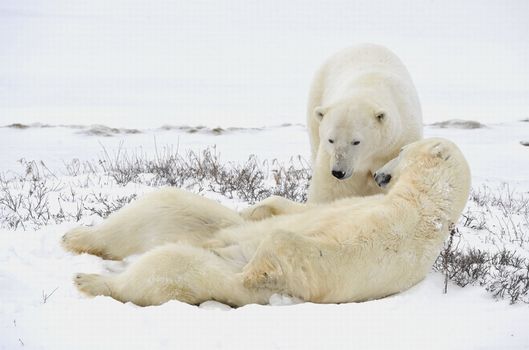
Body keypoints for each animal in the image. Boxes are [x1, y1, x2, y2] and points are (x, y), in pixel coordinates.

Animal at [67, 137, 470, 306]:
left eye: (401, 151)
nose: (382, 175)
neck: (424, 203)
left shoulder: (396, 240)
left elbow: (325, 256)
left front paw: (255, 269)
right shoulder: (365, 204)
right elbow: (303, 210)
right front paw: (256, 209)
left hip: (211, 271)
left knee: (169, 266)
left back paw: (92, 280)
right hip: (199, 221)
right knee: (162, 205)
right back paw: (76, 238)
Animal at [241, 43, 422, 219]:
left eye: (356, 141)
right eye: (331, 139)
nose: (338, 172)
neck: (369, 86)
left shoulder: (397, 142)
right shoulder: (329, 155)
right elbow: (331, 191)